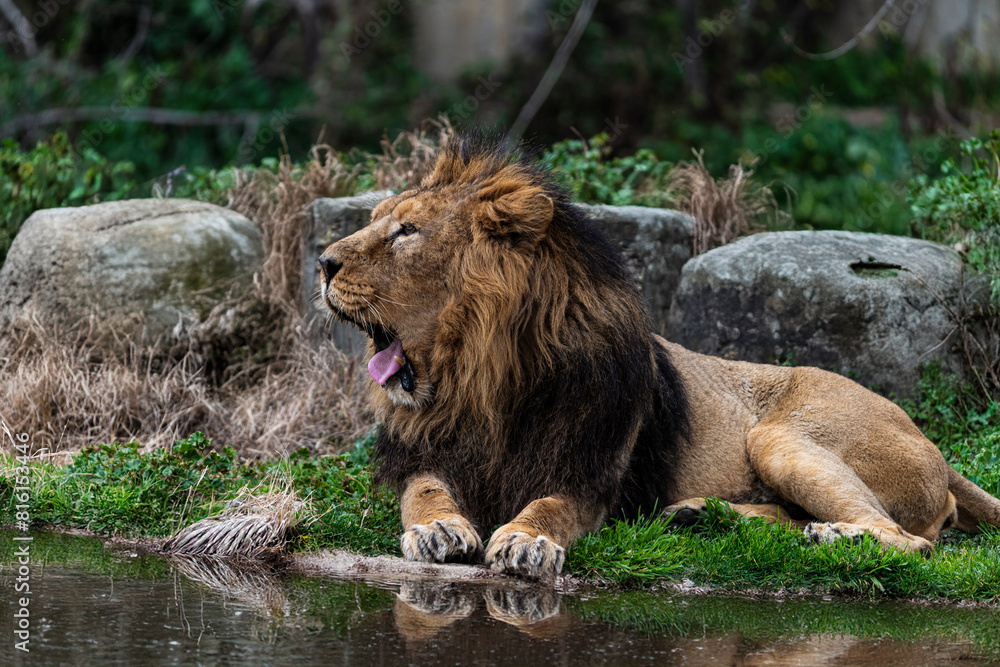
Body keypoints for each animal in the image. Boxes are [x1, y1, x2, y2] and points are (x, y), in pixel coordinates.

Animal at [318, 135, 1000, 579]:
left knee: (911, 542)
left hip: (782, 436)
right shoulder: (425, 452)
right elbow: (425, 492)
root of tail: (936, 450)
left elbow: (549, 506)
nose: (322, 262)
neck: (480, 380)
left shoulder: (589, 471)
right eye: (378, 220)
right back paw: (704, 517)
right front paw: (437, 529)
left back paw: (832, 536)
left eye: (407, 231)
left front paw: (526, 542)